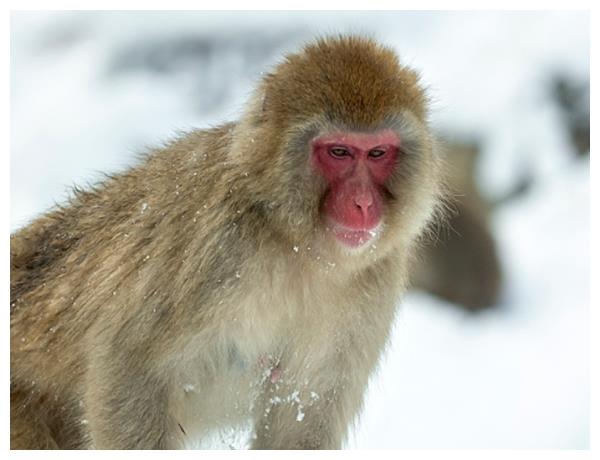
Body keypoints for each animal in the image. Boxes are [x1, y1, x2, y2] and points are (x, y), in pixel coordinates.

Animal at [10, 36, 446, 450]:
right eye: (339, 152)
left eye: (377, 153)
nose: (363, 204)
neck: (296, 246)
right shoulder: (217, 248)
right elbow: (129, 364)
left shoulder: (375, 281)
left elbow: (303, 420)